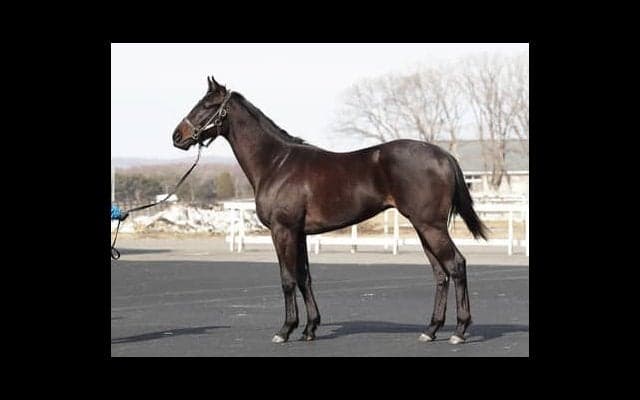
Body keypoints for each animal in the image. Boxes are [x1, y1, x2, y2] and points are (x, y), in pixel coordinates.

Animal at [172, 76, 488, 344]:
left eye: (207, 106)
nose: (177, 136)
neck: (276, 163)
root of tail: (444, 155)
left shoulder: (283, 231)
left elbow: (287, 279)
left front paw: (285, 330)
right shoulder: (299, 233)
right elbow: (304, 278)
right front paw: (310, 329)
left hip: (430, 226)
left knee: (456, 265)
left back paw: (459, 331)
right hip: (423, 228)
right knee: (440, 274)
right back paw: (431, 330)